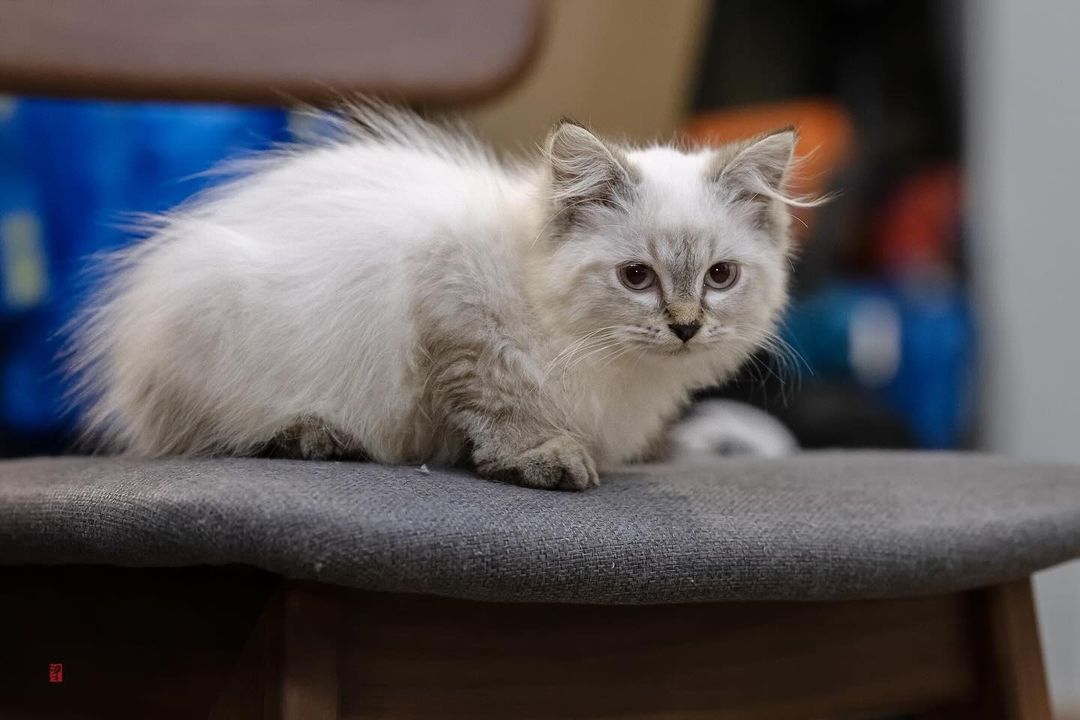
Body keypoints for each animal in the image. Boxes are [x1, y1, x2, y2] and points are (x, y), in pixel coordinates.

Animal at [71, 102, 807, 490]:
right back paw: (317, 437)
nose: (685, 326)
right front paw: (546, 458)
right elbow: (498, 409)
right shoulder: (451, 310)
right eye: (637, 278)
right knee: (223, 434)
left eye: (719, 277)